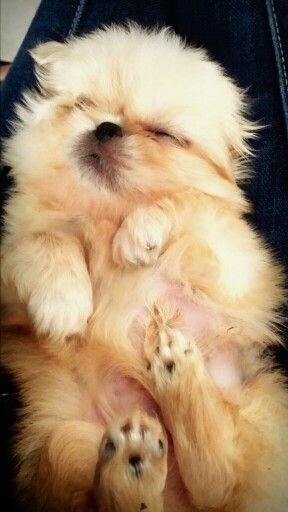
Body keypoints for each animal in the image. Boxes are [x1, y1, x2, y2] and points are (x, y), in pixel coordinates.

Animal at [1, 24, 286, 512]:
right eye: (84, 103)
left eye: (162, 134)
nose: (106, 127)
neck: (104, 214)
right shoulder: (10, 277)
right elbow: (43, 237)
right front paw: (64, 303)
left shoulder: (234, 261)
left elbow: (186, 202)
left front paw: (140, 234)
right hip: (65, 438)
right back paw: (131, 465)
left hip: (259, 404)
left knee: (218, 481)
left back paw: (175, 370)